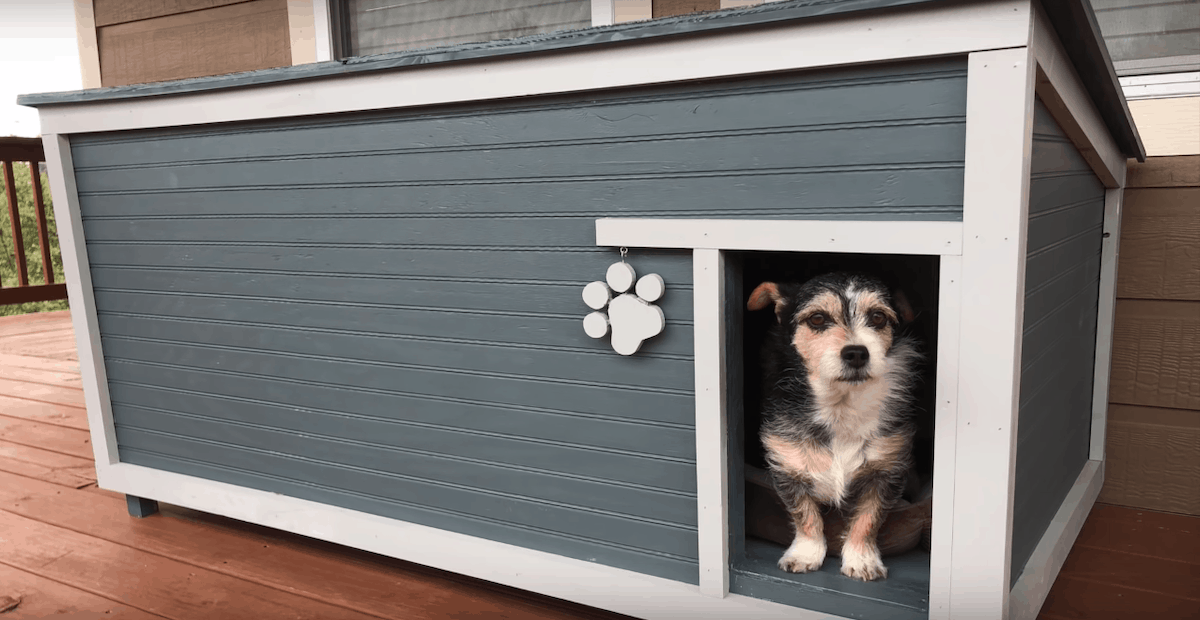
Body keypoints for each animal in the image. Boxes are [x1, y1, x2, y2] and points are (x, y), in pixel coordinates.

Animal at [744, 272, 921, 580]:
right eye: (817, 319)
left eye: (877, 317)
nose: (857, 353)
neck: (841, 405)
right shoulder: (787, 467)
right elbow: (805, 515)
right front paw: (806, 553)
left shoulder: (887, 473)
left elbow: (868, 518)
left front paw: (862, 559)